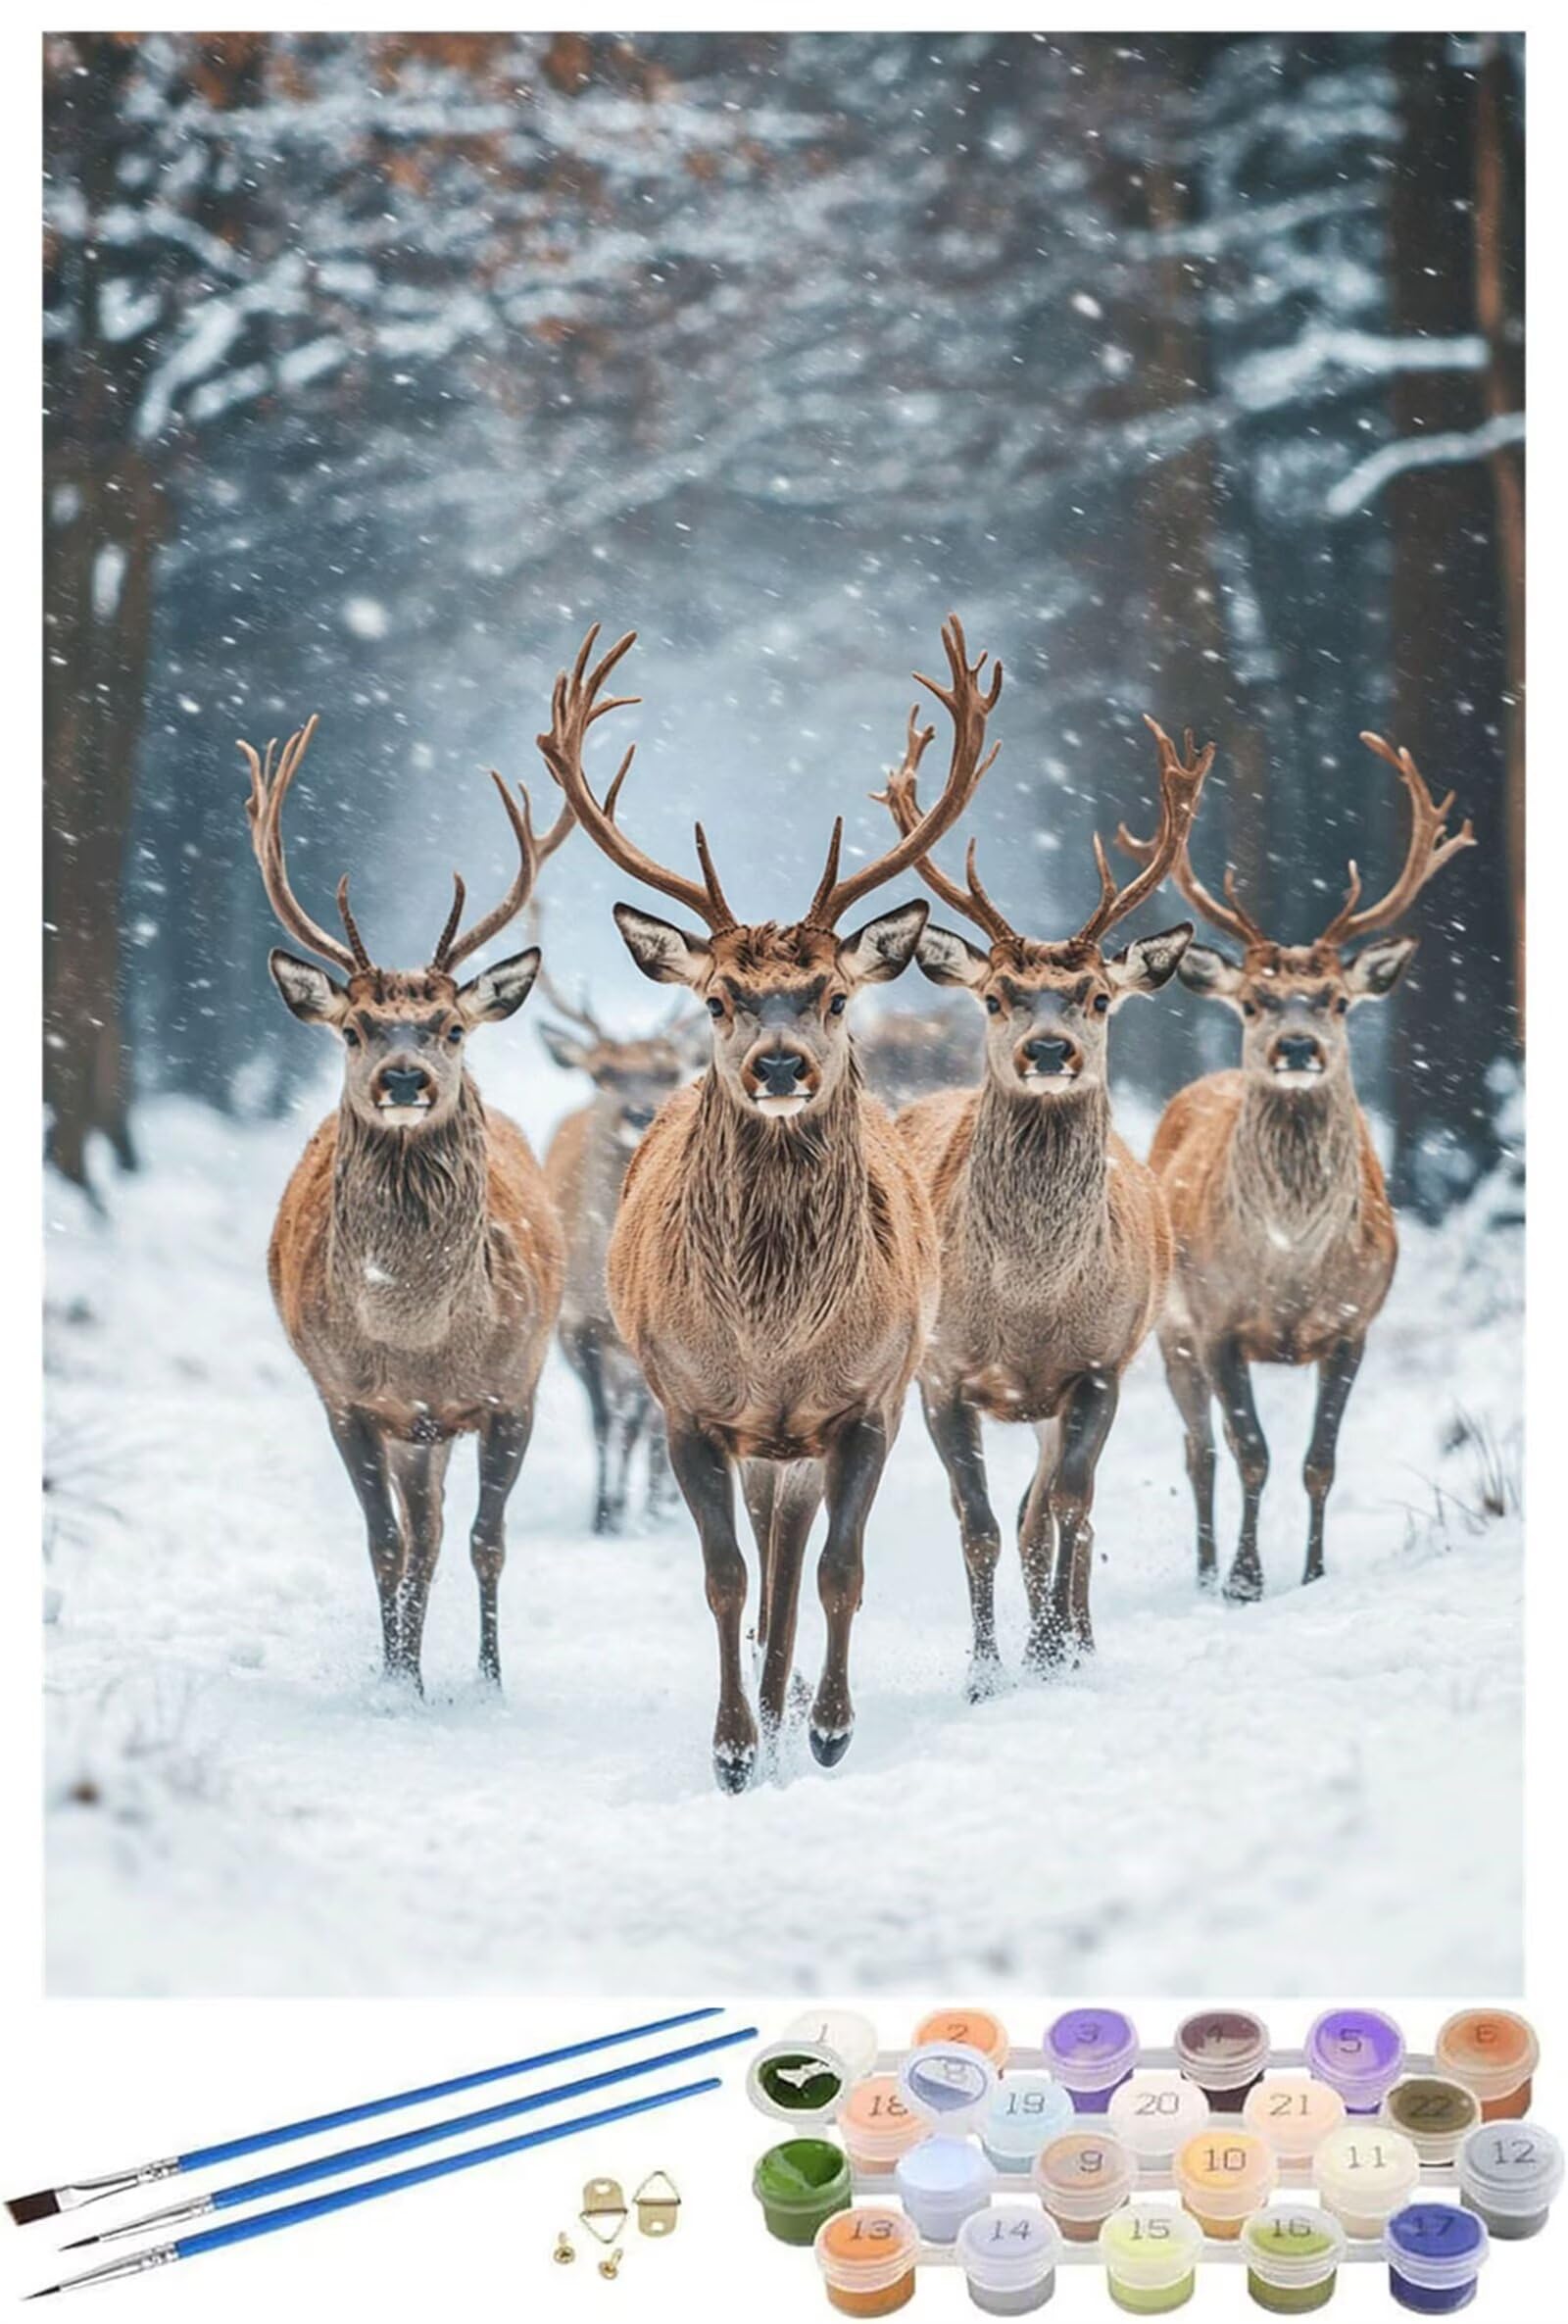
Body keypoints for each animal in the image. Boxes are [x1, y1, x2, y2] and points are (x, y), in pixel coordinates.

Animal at [242, 715, 571, 1693]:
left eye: (451, 1027)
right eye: (353, 1028)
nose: (402, 1076)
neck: (419, 1340)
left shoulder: (514, 1386)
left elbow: (487, 1540)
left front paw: (490, 1680)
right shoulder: (345, 1396)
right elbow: (384, 1543)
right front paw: (396, 1684)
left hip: (441, 1426)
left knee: (442, 1530)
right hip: (408, 1430)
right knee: (416, 1533)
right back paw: (404, 1661)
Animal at [536, 967, 700, 1534]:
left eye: (668, 1068)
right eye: (602, 1071)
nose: (640, 1111)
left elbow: (638, 1422)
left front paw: (636, 1507)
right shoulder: (575, 1323)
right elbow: (603, 1421)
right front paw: (603, 1513)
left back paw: (660, 1498)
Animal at [878, 712, 1208, 1692]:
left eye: (1098, 995)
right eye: (996, 995)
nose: (1052, 1049)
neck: (1027, 1306)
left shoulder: (1098, 1363)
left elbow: (1065, 1505)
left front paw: (1056, 1649)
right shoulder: (942, 1373)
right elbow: (978, 1523)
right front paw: (987, 1671)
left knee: (1061, 1506)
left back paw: (1074, 1638)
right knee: (1016, 1512)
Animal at [1117, 729, 1475, 1602]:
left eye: (1338, 1000)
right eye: (1253, 1001)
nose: (1298, 1046)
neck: (1290, 1267)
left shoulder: (1354, 1323)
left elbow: (1319, 1461)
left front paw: (1312, 1572)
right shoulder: (1216, 1321)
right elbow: (1251, 1452)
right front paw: (1245, 1579)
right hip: (1168, 1327)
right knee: (1200, 1451)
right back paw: (1204, 1568)